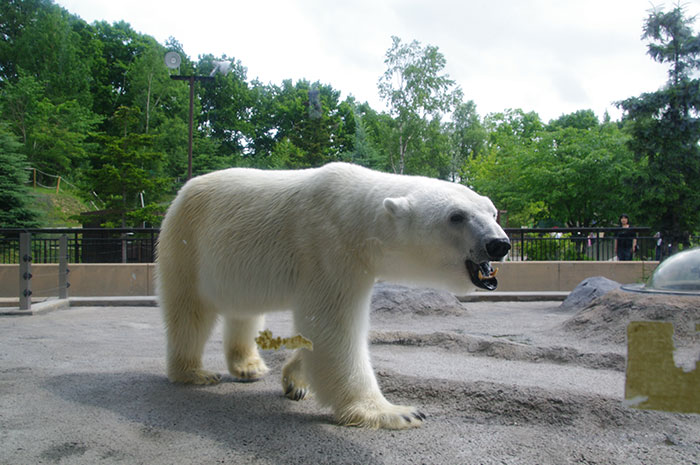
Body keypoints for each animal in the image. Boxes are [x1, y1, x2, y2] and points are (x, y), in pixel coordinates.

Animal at [157, 162, 508, 428]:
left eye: (492, 212)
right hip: (187, 242)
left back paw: (249, 367)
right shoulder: (328, 248)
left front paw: (295, 382)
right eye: (456, 216)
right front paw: (397, 412)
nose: (499, 244)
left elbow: (317, 332)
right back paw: (194, 372)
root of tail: (182, 192)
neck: (356, 215)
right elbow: (335, 329)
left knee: (244, 310)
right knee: (189, 311)